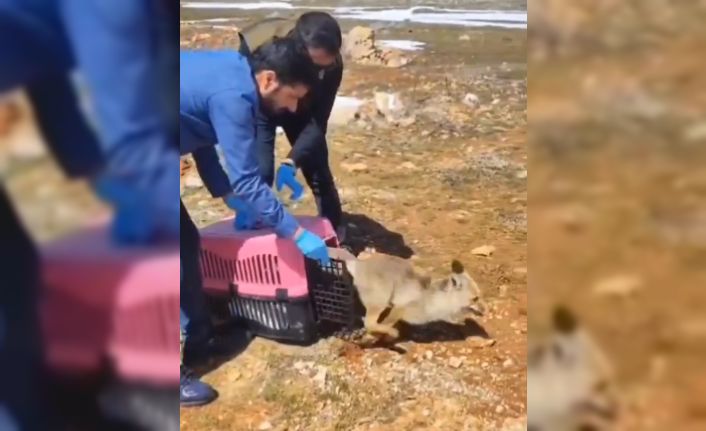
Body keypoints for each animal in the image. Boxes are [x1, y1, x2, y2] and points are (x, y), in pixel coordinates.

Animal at [332, 250, 486, 344]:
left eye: (479, 296)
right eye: (475, 298)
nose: (486, 310)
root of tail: (360, 265)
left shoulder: (396, 310)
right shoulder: (399, 309)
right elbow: (381, 326)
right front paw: (377, 337)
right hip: (381, 300)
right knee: (369, 323)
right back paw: (391, 333)